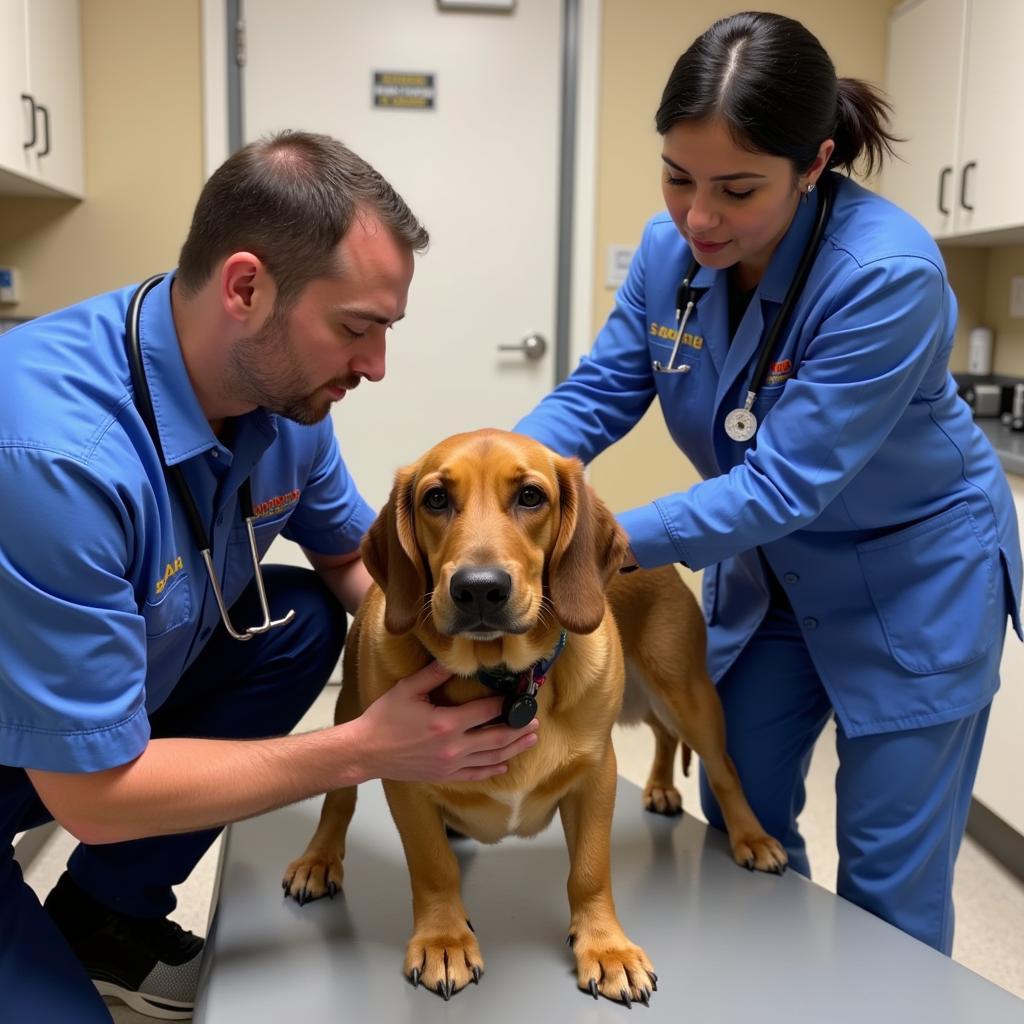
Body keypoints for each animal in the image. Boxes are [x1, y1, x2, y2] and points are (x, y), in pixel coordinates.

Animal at [284, 428, 786, 1003]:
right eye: (436, 498)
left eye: (530, 497)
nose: (480, 588)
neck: (504, 678)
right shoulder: (404, 781)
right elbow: (433, 866)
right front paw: (444, 939)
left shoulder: (598, 775)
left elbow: (589, 870)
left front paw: (605, 947)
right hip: (350, 709)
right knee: (339, 797)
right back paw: (320, 858)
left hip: (685, 693)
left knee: (718, 767)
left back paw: (749, 836)